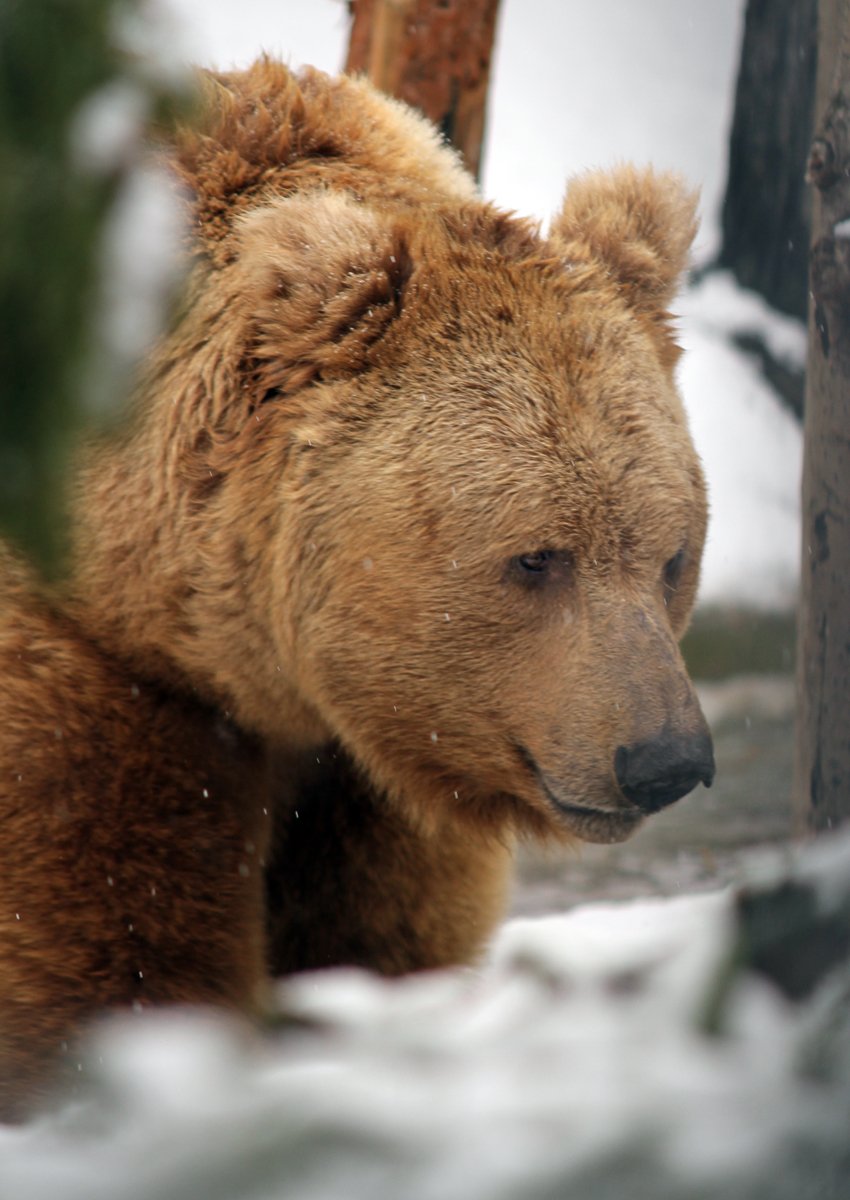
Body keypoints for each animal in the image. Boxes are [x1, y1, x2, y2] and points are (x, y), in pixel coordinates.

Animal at [0, 60, 710, 1118]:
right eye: (537, 557)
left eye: (671, 554)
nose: (665, 758)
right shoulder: (105, 677)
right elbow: (118, 955)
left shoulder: (379, 759)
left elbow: (374, 938)